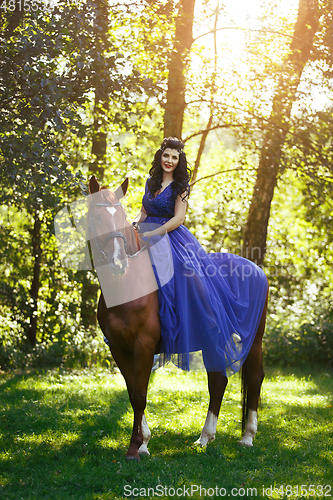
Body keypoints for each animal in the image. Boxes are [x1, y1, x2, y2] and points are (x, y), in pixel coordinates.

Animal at [87, 175, 268, 460]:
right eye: (96, 216)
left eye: (122, 217)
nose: (118, 262)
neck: (127, 286)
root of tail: (256, 269)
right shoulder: (119, 348)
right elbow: (132, 392)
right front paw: (144, 442)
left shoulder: (143, 345)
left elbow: (139, 394)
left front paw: (134, 448)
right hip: (213, 339)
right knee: (218, 381)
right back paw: (205, 438)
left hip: (255, 340)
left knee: (253, 378)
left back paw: (247, 437)